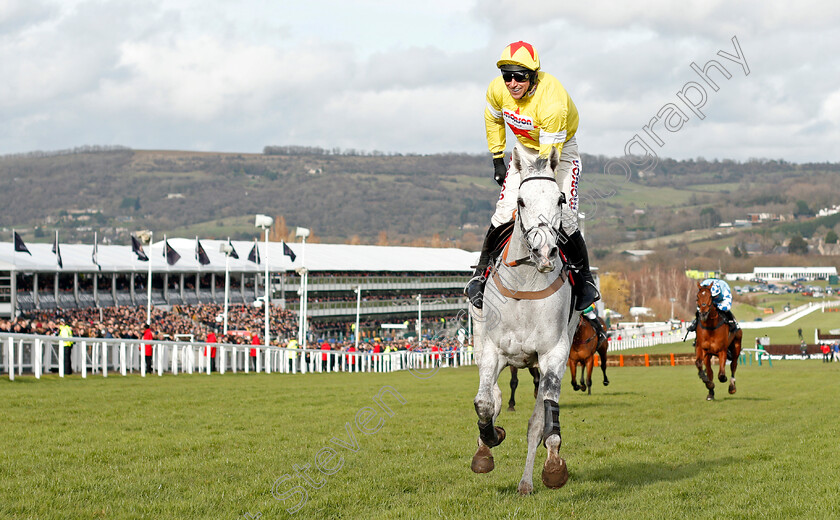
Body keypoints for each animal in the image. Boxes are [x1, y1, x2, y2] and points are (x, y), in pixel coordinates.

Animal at [470, 143, 580, 496]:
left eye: (560, 199)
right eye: (520, 201)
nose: (545, 253)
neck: (524, 285)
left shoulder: (553, 354)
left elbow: (543, 421)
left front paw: (554, 468)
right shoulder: (492, 352)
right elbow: (484, 403)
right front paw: (490, 440)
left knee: (538, 420)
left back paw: (527, 482)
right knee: (493, 396)